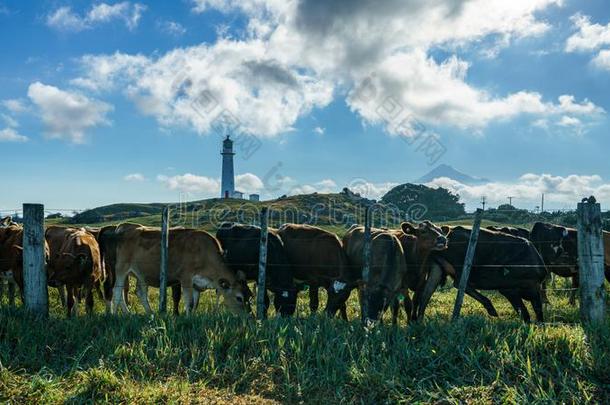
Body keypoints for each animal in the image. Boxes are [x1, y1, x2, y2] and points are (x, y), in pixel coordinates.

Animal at [109, 223, 245, 314]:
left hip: (140, 274)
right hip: (122, 269)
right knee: (117, 291)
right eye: (239, 298)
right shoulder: (186, 278)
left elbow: (195, 303)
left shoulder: (197, 283)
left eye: (249, 296)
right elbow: (189, 302)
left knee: (139, 292)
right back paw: (116, 315)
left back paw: (146, 313)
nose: (248, 317)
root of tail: (126, 226)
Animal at [416, 227, 544, 322]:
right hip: (460, 265)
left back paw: (420, 320)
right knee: (459, 283)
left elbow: (536, 309)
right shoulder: (509, 289)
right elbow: (526, 312)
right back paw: (492, 309)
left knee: (428, 291)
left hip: (437, 267)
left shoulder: (533, 288)